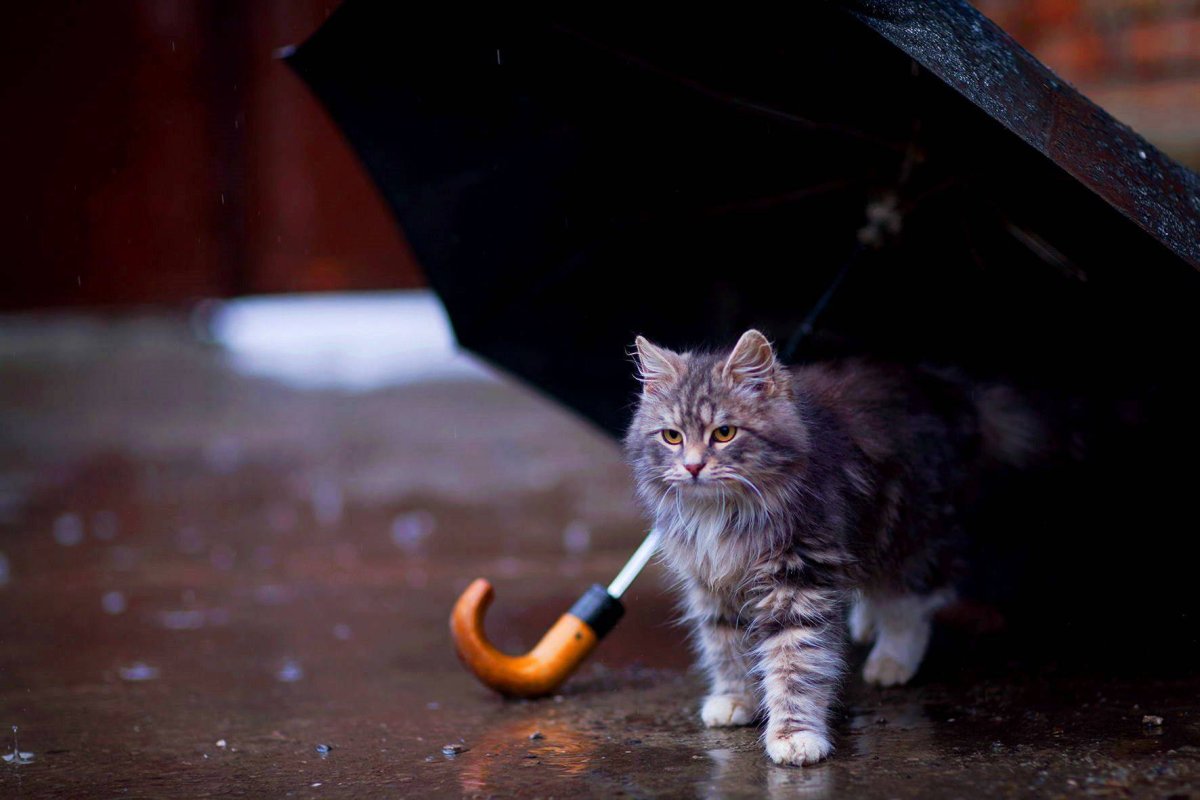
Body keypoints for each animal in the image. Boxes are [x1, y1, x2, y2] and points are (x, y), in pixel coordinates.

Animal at [624, 328, 1046, 767]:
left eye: (724, 433)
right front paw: (735, 698)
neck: (723, 514)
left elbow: (794, 664)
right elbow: (727, 648)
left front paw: (794, 736)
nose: (692, 466)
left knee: (910, 603)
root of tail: (947, 389)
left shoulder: (798, 580)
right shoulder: (713, 583)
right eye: (672, 437)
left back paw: (890, 662)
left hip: (908, 532)